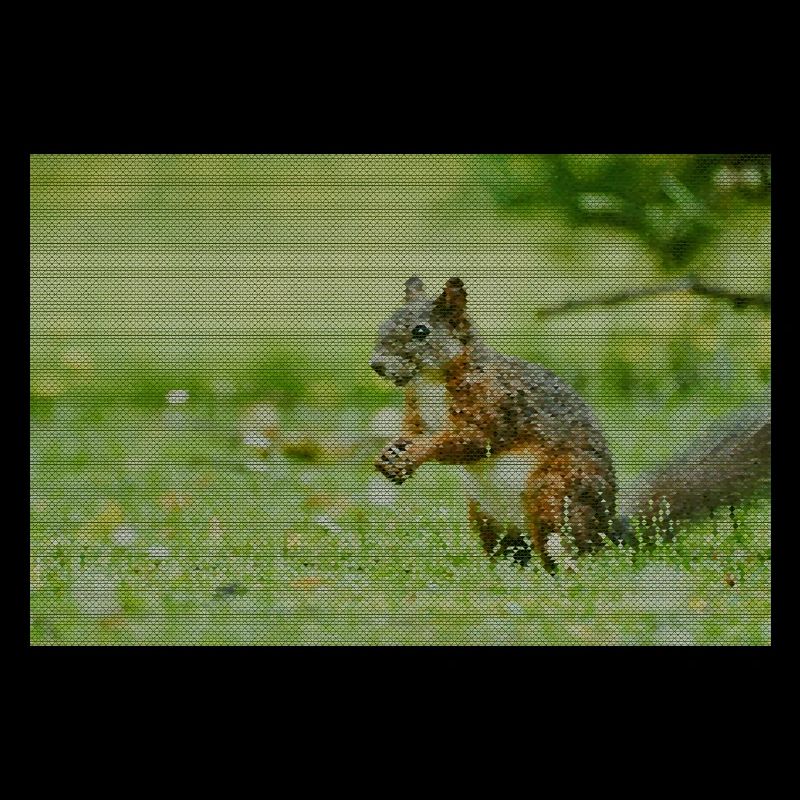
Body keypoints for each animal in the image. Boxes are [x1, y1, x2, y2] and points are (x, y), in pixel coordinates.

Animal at [370, 277, 771, 571]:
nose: (377, 365)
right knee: (513, 552)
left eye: (421, 332)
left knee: (568, 548)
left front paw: (417, 453)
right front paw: (390, 452)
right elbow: (413, 431)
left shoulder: (497, 403)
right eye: (385, 323)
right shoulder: (418, 410)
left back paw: (562, 572)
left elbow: (471, 439)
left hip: (554, 493)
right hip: (486, 517)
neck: (432, 381)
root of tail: (609, 529)